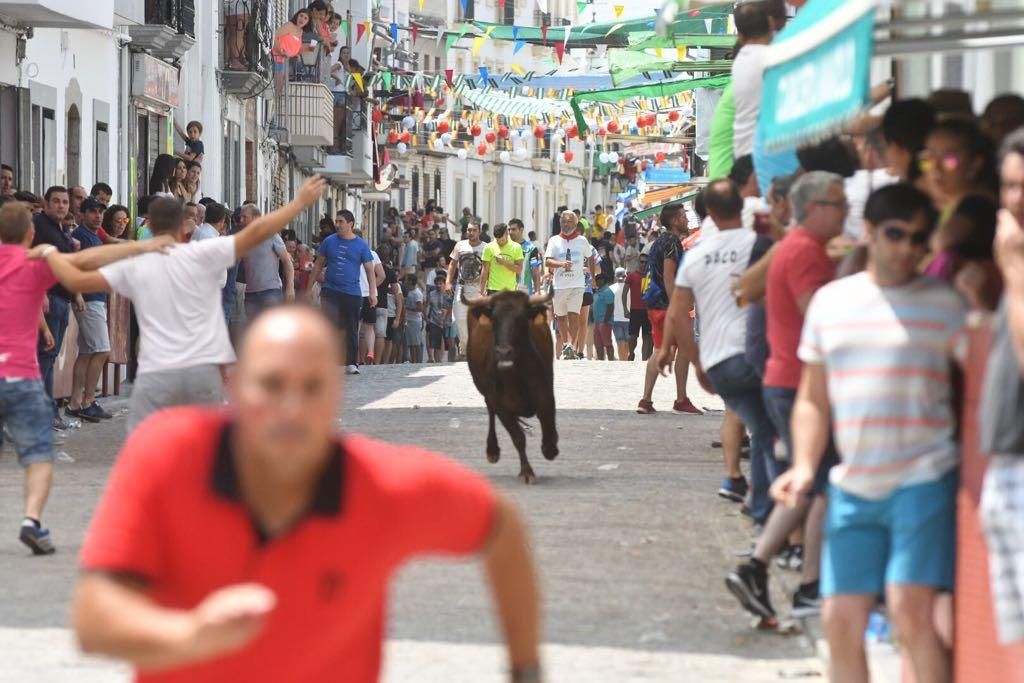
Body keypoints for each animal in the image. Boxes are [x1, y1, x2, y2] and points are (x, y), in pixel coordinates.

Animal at [464, 288, 561, 485]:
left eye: (521, 318)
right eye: (494, 319)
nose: (503, 352)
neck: (515, 376)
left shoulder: (546, 394)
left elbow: (548, 424)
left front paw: (550, 447)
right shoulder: (500, 404)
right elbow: (518, 438)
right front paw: (526, 472)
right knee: (490, 412)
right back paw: (492, 450)